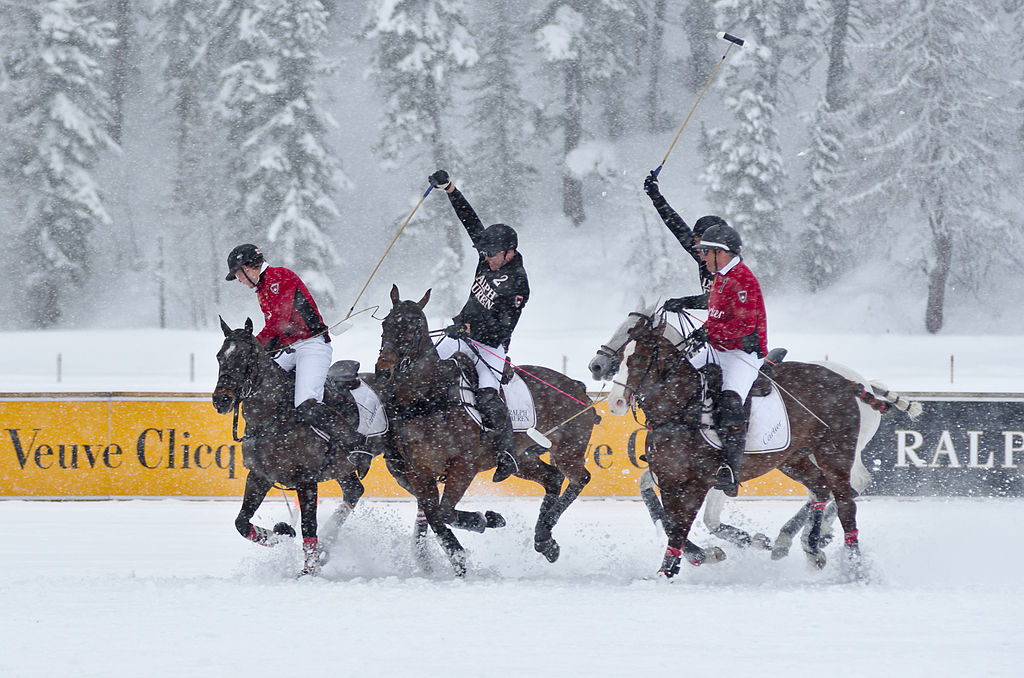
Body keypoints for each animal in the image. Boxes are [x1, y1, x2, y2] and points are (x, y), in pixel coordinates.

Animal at [209, 319, 366, 577]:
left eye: (244, 356)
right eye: (220, 356)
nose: (221, 400)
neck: (272, 417)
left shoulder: (306, 479)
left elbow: (308, 525)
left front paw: (308, 572)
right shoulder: (259, 475)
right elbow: (241, 522)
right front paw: (282, 533)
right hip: (341, 468)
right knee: (354, 490)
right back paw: (325, 547)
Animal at [376, 284, 598, 577]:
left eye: (412, 329)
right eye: (386, 325)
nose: (383, 371)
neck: (428, 397)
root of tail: (578, 387)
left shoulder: (463, 466)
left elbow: (445, 512)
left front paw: (488, 520)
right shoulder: (419, 473)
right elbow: (435, 515)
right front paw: (459, 559)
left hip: (569, 449)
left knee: (580, 478)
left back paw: (543, 535)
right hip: (524, 456)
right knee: (552, 477)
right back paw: (545, 541)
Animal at [606, 311, 921, 577]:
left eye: (640, 357)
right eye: (621, 352)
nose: (615, 402)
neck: (682, 407)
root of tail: (852, 382)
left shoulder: (705, 481)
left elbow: (695, 522)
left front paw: (733, 546)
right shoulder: (669, 478)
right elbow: (662, 512)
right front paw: (700, 557)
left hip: (835, 452)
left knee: (846, 498)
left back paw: (849, 564)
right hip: (793, 458)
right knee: (821, 489)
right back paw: (808, 544)